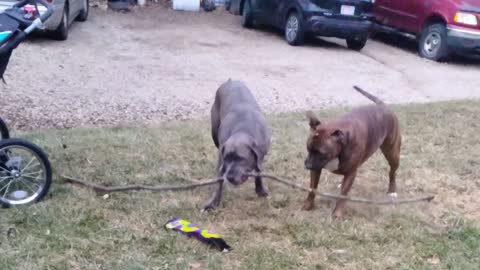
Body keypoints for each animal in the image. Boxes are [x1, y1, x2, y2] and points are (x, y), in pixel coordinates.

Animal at [202, 78, 270, 211]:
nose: (230, 177)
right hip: (214, 132)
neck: (243, 128)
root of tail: (230, 80)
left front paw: (260, 190)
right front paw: (213, 203)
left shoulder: (260, 155)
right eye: (226, 159)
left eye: (241, 158)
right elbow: (219, 179)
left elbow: (258, 171)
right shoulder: (221, 159)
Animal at [304, 86, 402, 219]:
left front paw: (337, 214)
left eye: (321, 153)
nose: (307, 165)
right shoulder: (316, 169)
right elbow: (312, 188)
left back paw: (392, 190)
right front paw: (308, 204)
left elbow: (343, 195)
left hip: (392, 153)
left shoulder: (350, 172)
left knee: (392, 171)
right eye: (308, 149)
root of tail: (383, 105)